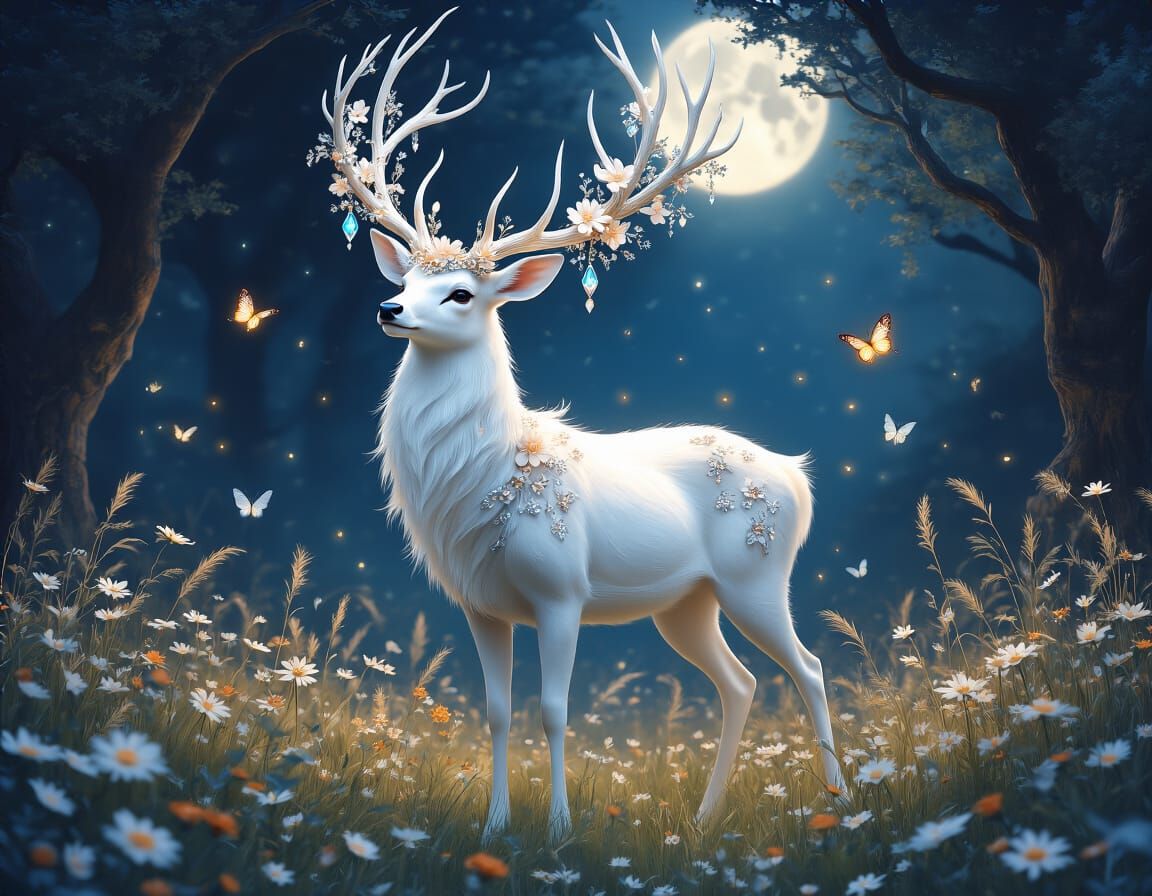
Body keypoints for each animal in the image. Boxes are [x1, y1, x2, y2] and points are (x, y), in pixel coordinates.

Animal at [321, 8, 844, 843]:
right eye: (408, 277)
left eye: (462, 293)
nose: (387, 307)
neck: (478, 480)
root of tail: (798, 476)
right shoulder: (479, 603)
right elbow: (498, 713)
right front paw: (495, 826)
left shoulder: (562, 591)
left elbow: (556, 711)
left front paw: (560, 830)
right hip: (686, 603)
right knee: (739, 683)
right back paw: (705, 819)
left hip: (756, 573)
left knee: (810, 668)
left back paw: (841, 801)